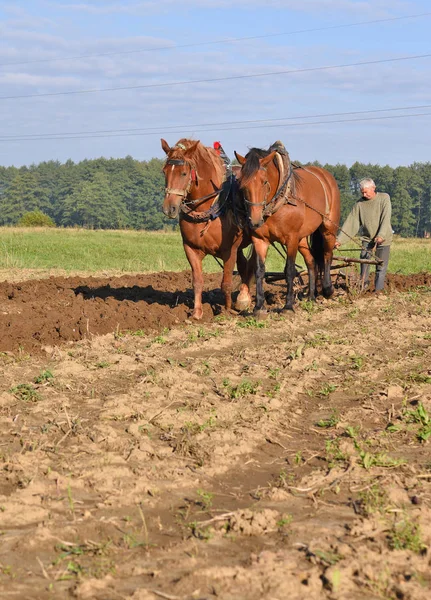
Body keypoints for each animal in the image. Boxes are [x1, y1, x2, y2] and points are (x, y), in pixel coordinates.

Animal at [163, 139, 256, 322]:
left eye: (184, 173)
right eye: (164, 172)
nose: (169, 208)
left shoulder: (229, 250)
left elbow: (226, 283)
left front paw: (227, 311)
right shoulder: (190, 248)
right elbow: (197, 281)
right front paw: (197, 313)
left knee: (254, 265)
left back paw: (244, 298)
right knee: (244, 266)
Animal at [236, 142, 340, 312]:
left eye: (264, 181)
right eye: (242, 183)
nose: (255, 221)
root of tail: (325, 175)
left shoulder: (291, 239)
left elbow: (290, 270)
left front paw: (288, 305)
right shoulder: (259, 239)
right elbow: (259, 271)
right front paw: (259, 306)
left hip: (328, 227)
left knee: (327, 255)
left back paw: (328, 289)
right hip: (302, 238)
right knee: (311, 261)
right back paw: (311, 296)